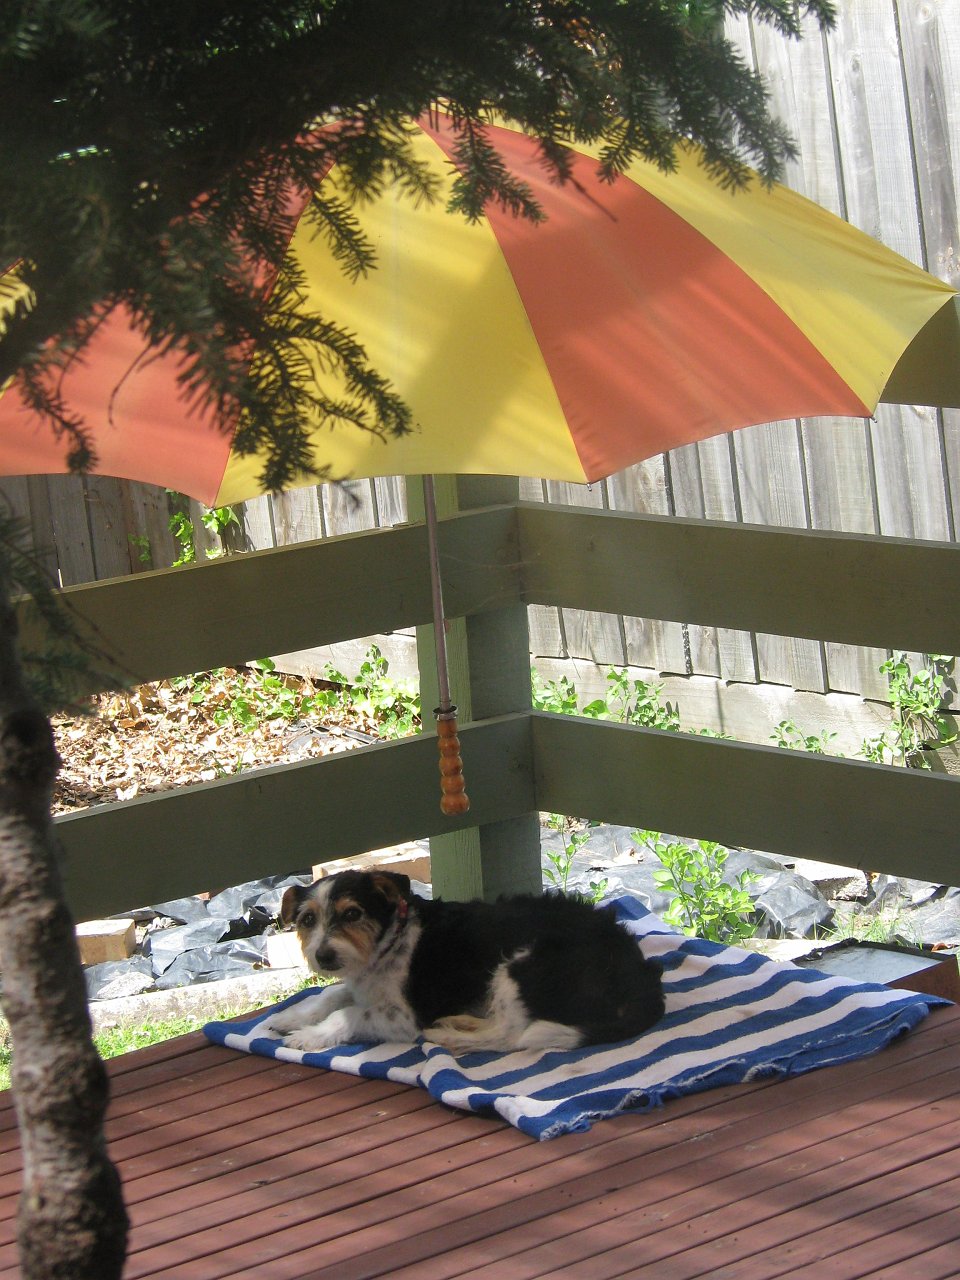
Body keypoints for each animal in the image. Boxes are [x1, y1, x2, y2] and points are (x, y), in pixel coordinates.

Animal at [263, 870, 670, 1059]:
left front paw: (308, 1036)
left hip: (520, 965)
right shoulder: (360, 986)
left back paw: (449, 1036)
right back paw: (461, 1021)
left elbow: (346, 1013)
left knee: (511, 1036)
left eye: (352, 914)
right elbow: (330, 995)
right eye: (307, 920)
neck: (391, 941)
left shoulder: (404, 1016)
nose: (324, 956)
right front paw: (290, 1017)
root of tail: (643, 979)